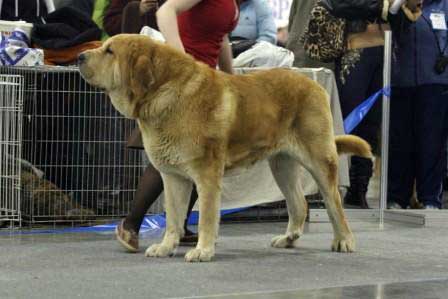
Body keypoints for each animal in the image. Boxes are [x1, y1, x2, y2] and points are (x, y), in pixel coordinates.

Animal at [79, 33, 372, 262]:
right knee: (299, 203)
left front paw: (203, 250)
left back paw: (344, 240)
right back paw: (288, 239)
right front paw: (166, 246)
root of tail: (314, 84)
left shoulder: (206, 174)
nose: (80, 56)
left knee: (334, 203)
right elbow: (173, 217)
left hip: (319, 160)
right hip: (281, 165)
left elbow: (207, 216)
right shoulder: (173, 177)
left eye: (109, 51)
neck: (162, 92)